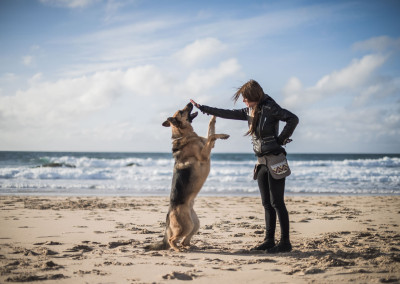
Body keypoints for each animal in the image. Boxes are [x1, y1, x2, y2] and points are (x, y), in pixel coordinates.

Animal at [146, 102, 228, 253]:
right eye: (181, 111)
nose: (190, 103)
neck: (185, 135)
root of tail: (169, 216)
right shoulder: (204, 155)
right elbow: (212, 136)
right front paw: (223, 134)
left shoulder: (209, 146)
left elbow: (211, 131)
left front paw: (213, 117)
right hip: (187, 225)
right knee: (172, 240)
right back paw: (178, 250)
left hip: (195, 224)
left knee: (184, 240)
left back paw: (190, 246)